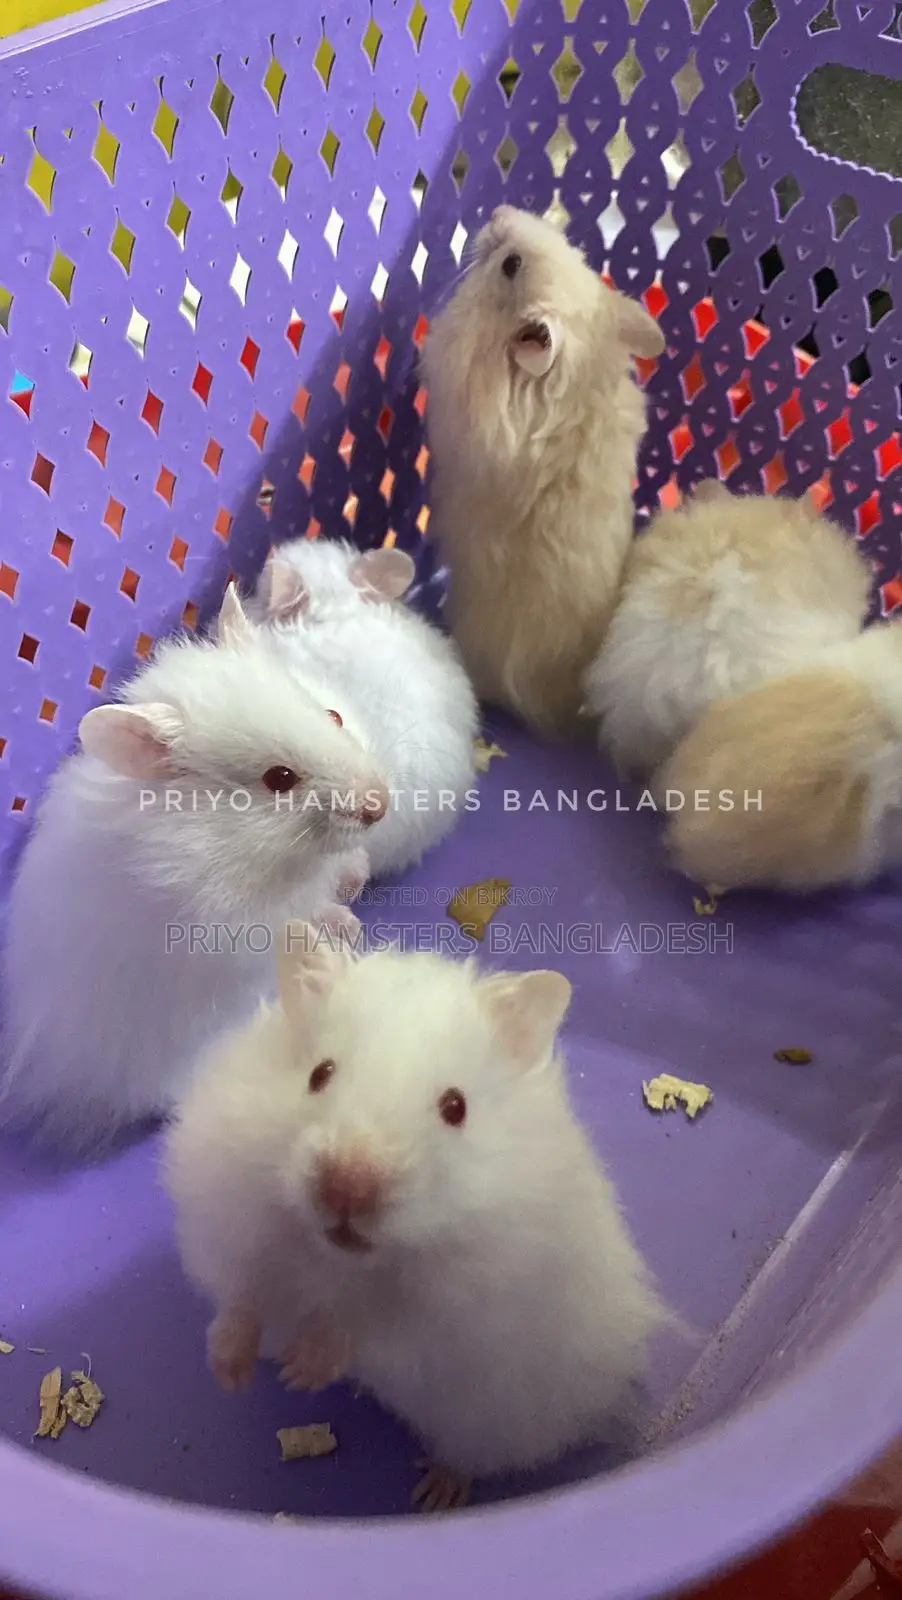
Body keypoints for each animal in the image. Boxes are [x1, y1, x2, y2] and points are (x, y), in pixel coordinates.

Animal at [0, 586, 389, 1155]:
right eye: (279, 778)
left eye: (334, 716)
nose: (382, 804)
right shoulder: (240, 926)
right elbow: (303, 918)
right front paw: (349, 926)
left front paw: (356, 882)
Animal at [165, 930, 668, 1505]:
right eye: (319, 1074)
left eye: (456, 1107)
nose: (347, 1187)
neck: (340, 1258)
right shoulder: (232, 1224)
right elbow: (245, 1295)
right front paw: (229, 1371)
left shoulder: (453, 1311)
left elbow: (374, 1322)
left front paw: (303, 1370)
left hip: (495, 1419)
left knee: (472, 1454)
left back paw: (435, 1495)